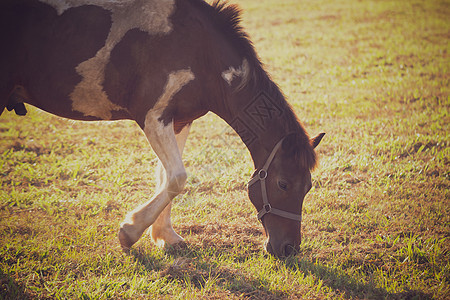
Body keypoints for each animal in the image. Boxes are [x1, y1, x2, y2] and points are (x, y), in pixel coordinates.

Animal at [0, 0, 324, 258]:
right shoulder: (154, 118)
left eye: (308, 186)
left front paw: (164, 235)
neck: (199, 51)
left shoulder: (179, 121)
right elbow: (177, 178)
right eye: (283, 184)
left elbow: (165, 177)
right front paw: (129, 231)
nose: (288, 249)